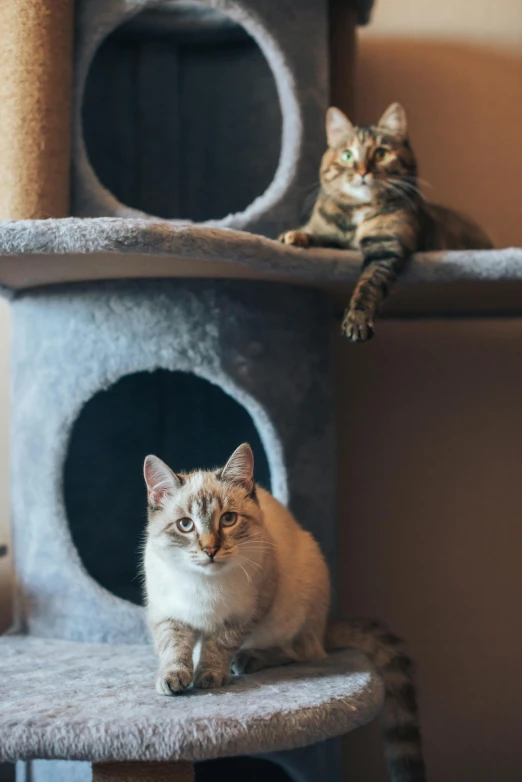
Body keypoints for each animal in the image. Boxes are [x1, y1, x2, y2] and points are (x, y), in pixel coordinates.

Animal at [144, 444, 424, 780]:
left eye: (228, 519)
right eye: (185, 525)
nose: (210, 550)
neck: (204, 584)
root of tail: (325, 627)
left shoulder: (246, 611)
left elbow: (218, 647)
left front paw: (210, 676)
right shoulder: (168, 614)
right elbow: (174, 649)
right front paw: (173, 679)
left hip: (293, 609)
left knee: (301, 651)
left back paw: (248, 660)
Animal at [278, 102, 490, 342]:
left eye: (381, 153)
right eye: (347, 155)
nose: (363, 171)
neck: (360, 210)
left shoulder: (385, 246)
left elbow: (367, 285)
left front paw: (357, 320)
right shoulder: (330, 234)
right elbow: (314, 233)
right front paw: (294, 236)